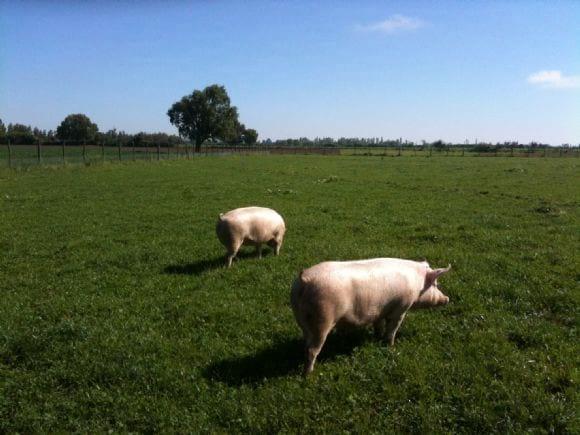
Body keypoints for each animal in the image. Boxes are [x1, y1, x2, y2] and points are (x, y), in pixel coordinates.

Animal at [292, 258, 450, 374]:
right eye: (435, 284)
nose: (447, 298)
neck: (417, 284)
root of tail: (306, 279)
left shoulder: (379, 310)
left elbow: (378, 325)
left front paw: (377, 338)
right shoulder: (401, 308)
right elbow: (392, 328)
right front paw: (391, 346)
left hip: (302, 320)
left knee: (306, 344)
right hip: (323, 319)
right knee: (312, 349)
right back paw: (308, 375)